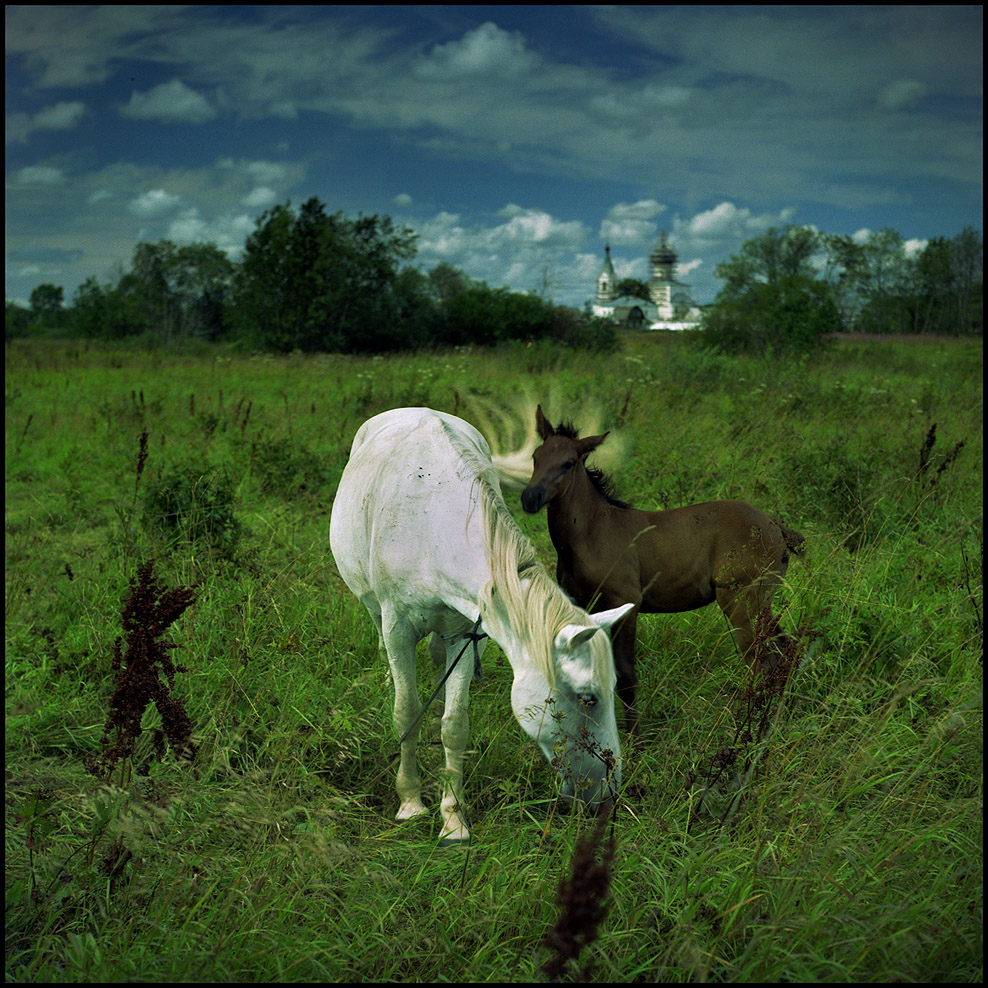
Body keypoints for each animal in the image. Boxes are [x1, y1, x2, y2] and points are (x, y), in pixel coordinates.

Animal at [328, 406, 628, 844]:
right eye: (588, 698)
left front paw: (453, 819)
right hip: (373, 608)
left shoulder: (464, 634)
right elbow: (406, 713)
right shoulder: (398, 629)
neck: (432, 527)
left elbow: (455, 726)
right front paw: (410, 802)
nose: (608, 792)